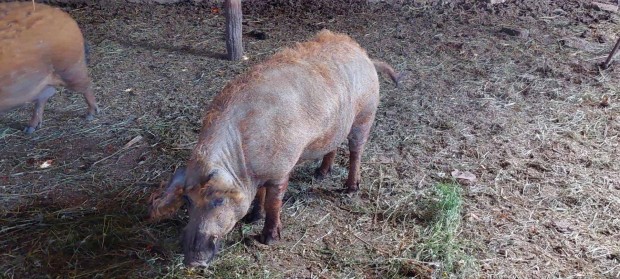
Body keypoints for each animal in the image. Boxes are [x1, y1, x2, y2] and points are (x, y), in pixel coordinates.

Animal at [0, 1, 98, 133]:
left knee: (86, 84)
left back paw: (90, 115)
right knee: (46, 94)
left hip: (71, 67)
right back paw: (30, 129)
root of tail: (65, 17)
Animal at [150, 29, 402, 268]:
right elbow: (260, 196)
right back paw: (320, 174)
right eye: (188, 200)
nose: (193, 261)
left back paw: (350, 189)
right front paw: (252, 218)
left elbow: (274, 202)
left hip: (365, 114)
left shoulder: (280, 169)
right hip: (337, 126)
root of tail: (365, 55)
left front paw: (268, 239)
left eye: (218, 200)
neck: (244, 162)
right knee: (333, 146)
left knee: (356, 150)